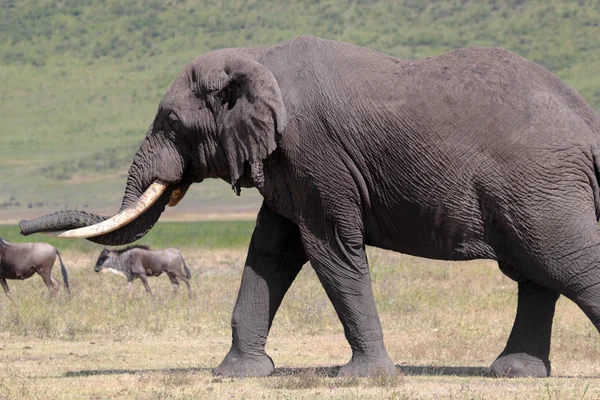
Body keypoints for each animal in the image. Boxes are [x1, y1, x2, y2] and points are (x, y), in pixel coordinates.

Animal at [18, 36, 600, 376]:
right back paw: (513, 374)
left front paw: (366, 380)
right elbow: (270, 253)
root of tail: (588, 120)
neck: (256, 60)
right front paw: (238, 375)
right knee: (537, 274)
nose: (22, 225)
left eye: (173, 124)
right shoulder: (287, 167)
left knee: (563, 264)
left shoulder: (315, 155)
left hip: (539, 186)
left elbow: (330, 251)